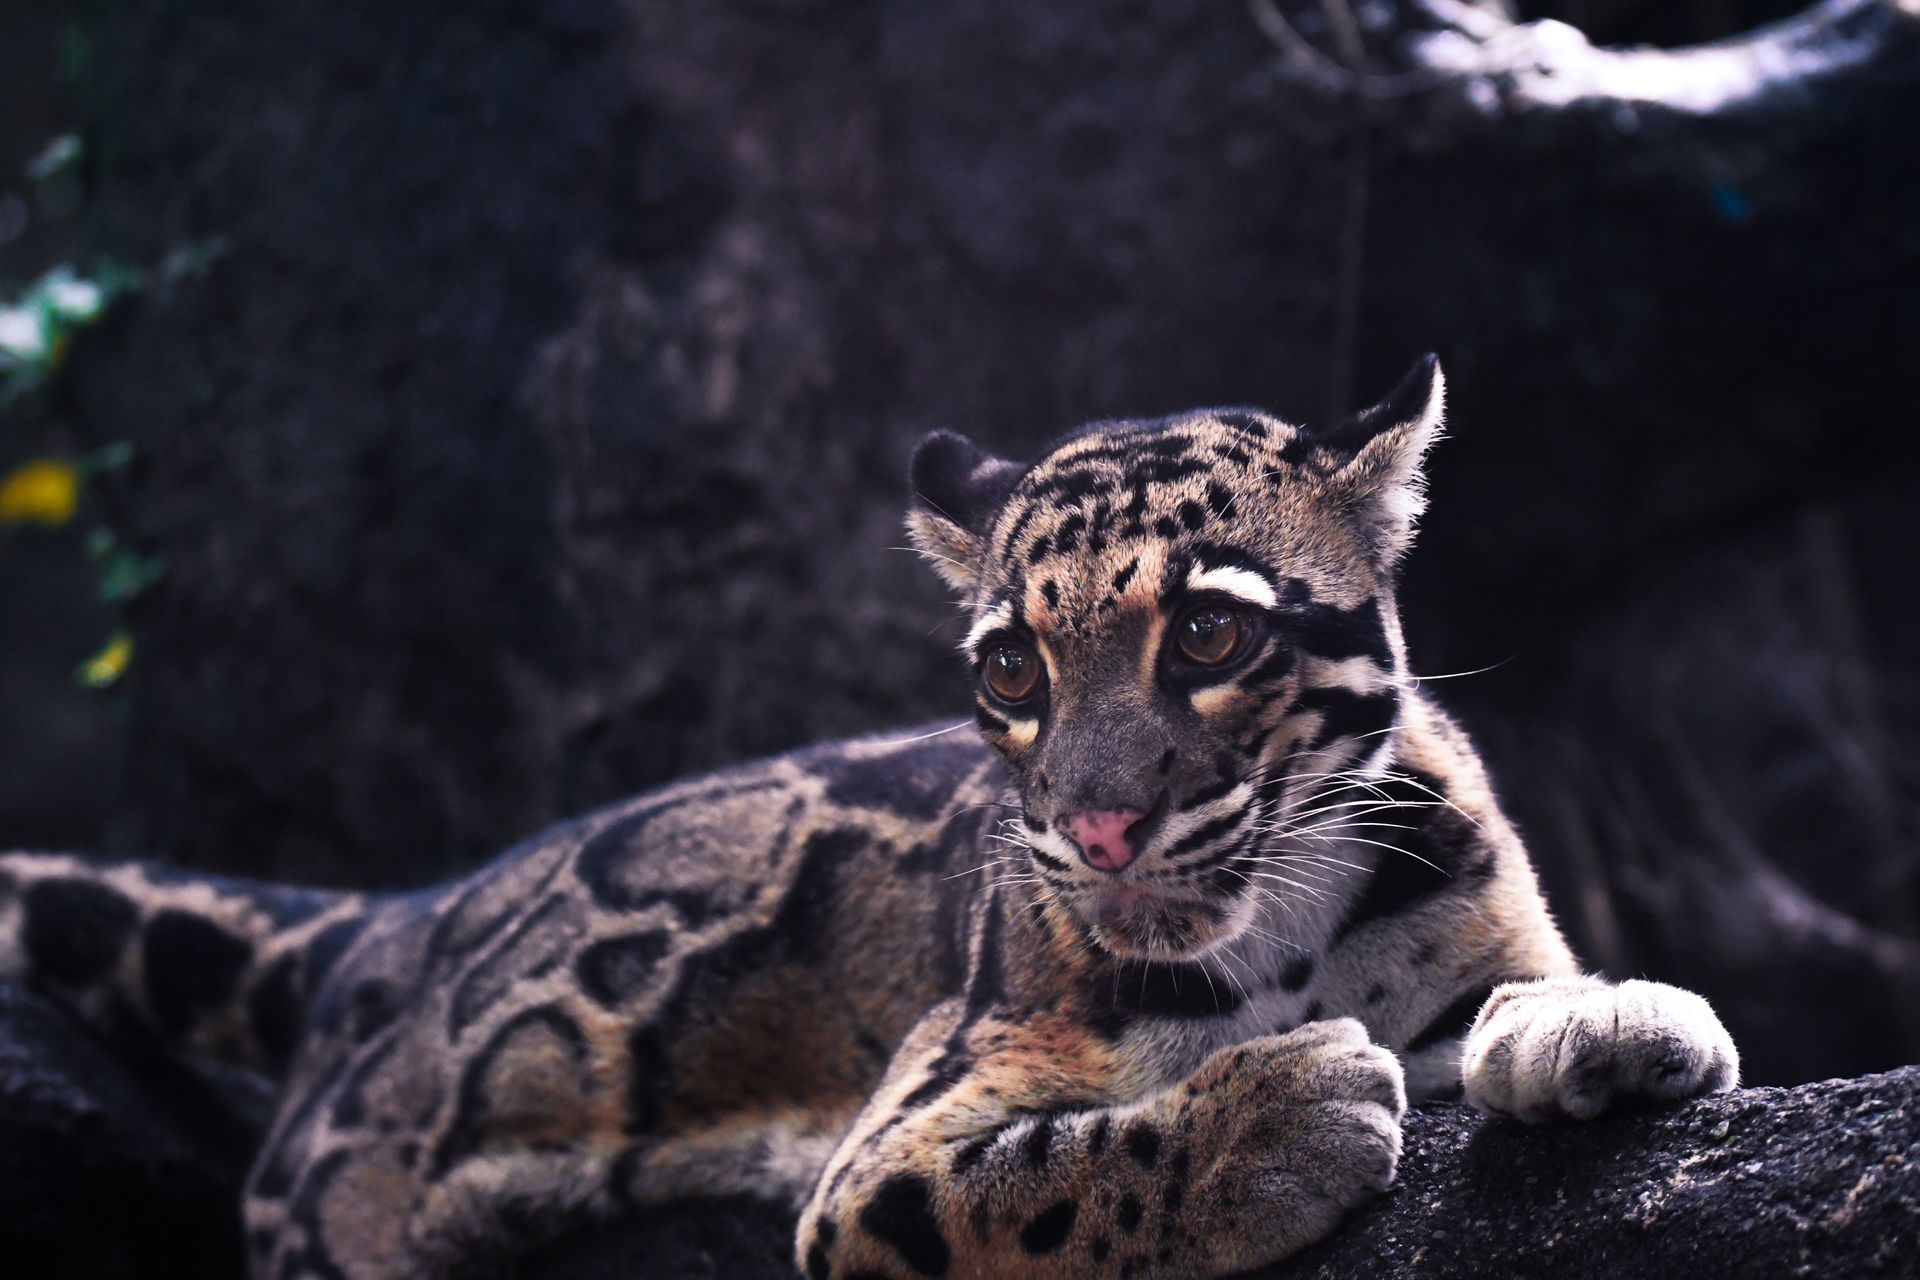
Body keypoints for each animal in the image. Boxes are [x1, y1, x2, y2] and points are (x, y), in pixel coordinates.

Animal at [0, 354, 1739, 1279]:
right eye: (1011, 669)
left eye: (1209, 635)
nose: (1100, 833)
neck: (1288, 940)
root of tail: (395, 914)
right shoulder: (886, 1151)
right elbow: (1036, 1186)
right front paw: (1269, 1122)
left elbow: (1506, 996)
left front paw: (1603, 1019)